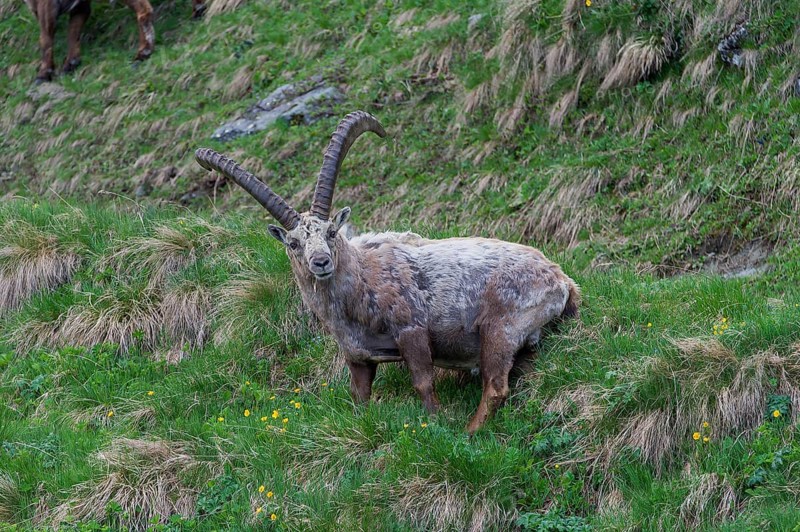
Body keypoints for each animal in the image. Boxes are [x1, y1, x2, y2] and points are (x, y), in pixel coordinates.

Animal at [24, 0, 205, 82]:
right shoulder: (80, 5)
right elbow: (73, 32)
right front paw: (71, 63)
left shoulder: (46, 5)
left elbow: (46, 38)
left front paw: (43, 74)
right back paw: (198, 12)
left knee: (144, 10)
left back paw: (142, 52)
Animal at [195, 111, 580, 433]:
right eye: (293, 243)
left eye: (331, 232)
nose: (320, 262)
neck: (359, 284)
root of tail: (562, 280)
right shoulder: (356, 355)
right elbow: (360, 395)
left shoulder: (411, 330)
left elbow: (423, 382)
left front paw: (434, 425)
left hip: (499, 327)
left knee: (496, 386)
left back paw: (469, 433)